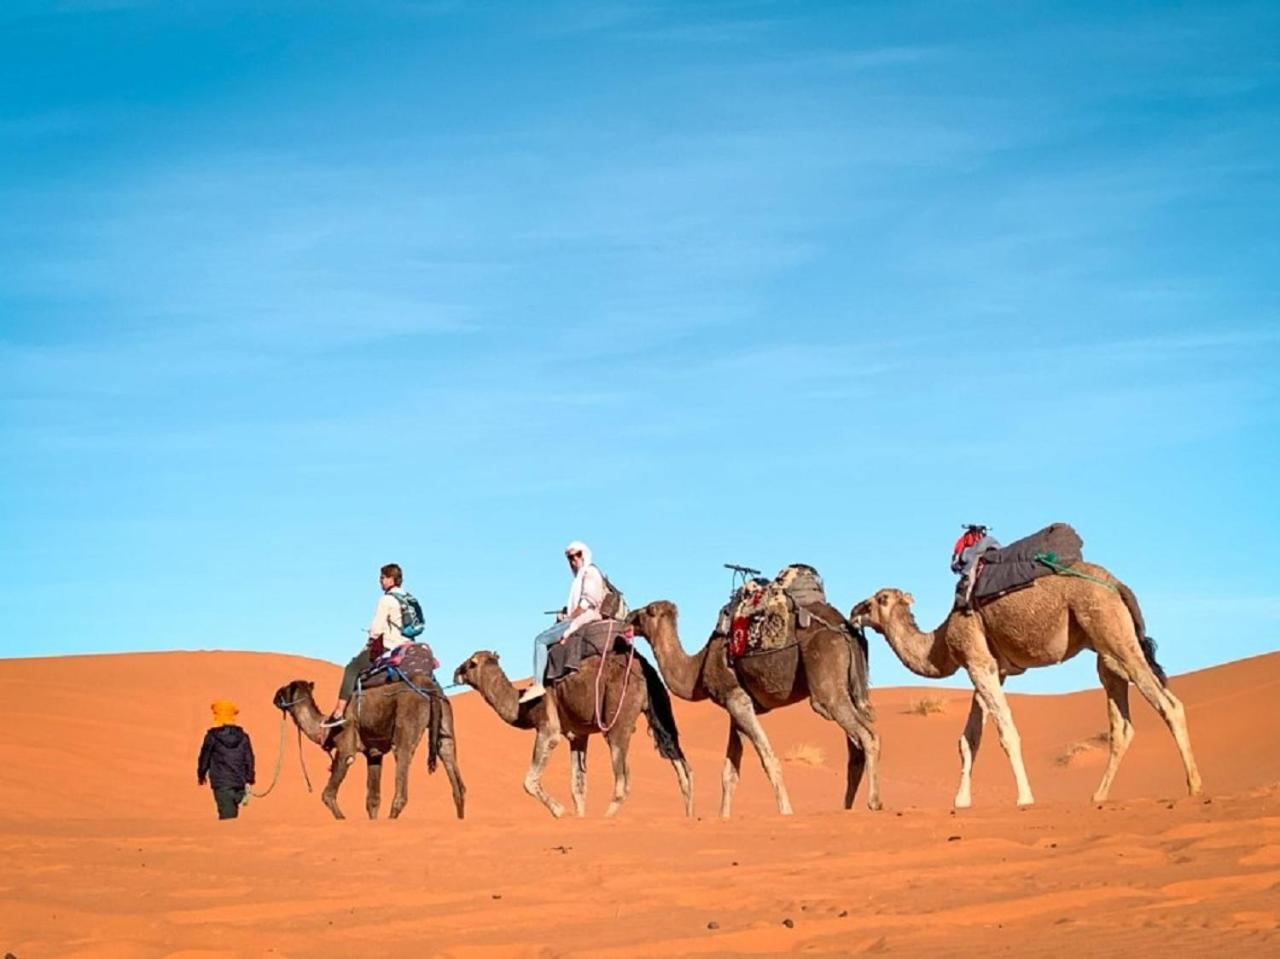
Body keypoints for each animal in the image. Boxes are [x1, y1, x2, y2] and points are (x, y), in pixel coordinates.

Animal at [272, 676, 468, 819]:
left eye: (284, 690)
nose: (274, 697)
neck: (326, 728)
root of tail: (430, 688)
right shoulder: (374, 753)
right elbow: (372, 800)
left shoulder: (346, 746)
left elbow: (327, 795)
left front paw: (342, 819)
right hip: (445, 717)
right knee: (451, 764)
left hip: (408, 719)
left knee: (402, 769)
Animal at [450, 642, 691, 814]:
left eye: (470, 663)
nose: (455, 672)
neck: (523, 705)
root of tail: (645, 670)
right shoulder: (577, 735)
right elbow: (577, 787)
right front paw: (578, 817)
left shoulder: (548, 727)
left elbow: (529, 781)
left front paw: (559, 811)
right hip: (657, 709)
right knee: (679, 761)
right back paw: (689, 816)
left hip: (618, 716)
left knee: (623, 781)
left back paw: (606, 819)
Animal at [622, 599, 880, 814]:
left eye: (647, 610)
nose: (629, 616)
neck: (698, 667)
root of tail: (845, 628)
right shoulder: (735, 708)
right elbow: (729, 773)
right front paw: (724, 817)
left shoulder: (736, 699)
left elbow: (768, 759)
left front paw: (786, 811)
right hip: (851, 687)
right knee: (856, 748)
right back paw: (847, 808)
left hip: (826, 683)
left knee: (866, 734)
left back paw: (874, 802)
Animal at [849, 560, 1198, 809]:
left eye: (880, 599)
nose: (855, 610)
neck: (940, 643)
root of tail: (1118, 585)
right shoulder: (992, 669)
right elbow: (969, 739)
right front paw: (961, 801)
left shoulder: (977, 660)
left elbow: (1007, 733)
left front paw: (1025, 798)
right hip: (1106, 651)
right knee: (1121, 724)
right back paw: (1098, 796)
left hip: (1110, 629)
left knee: (1168, 704)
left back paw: (1194, 786)